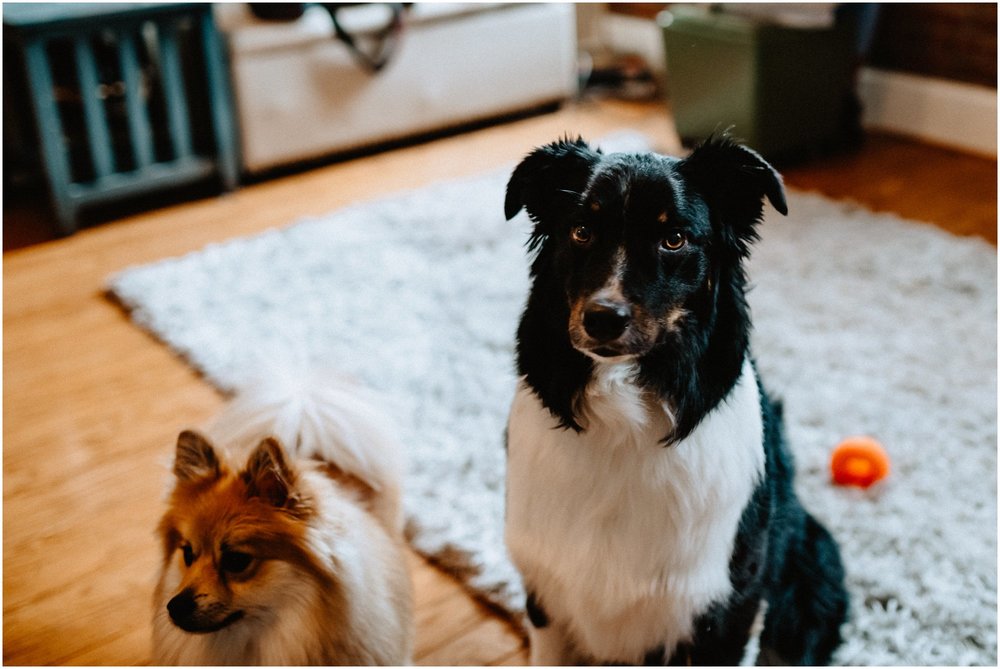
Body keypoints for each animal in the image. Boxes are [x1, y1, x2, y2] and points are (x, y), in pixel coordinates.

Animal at [504, 134, 848, 664]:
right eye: (581, 231)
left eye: (675, 239)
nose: (603, 318)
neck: (624, 424)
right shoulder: (545, 590)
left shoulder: (726, 608)